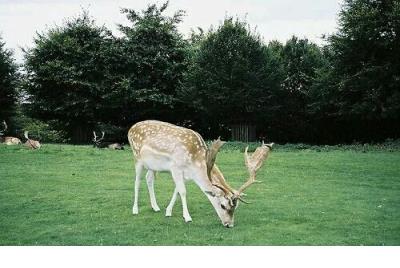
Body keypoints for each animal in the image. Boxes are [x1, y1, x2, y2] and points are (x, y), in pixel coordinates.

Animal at [126, 120, 274, 227]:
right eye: (223, 205)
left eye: (236, 207)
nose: (229, 224)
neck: (194, 165)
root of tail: (130, 129)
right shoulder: (175, 167)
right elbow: (183, 192)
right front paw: (187, 217)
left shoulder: (185, 174)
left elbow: (177, 191)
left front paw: (168, 212)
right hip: (137, 157)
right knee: (137, 181)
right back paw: (135, 210)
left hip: (152, 166)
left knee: (149, 178)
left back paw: (156, 207)